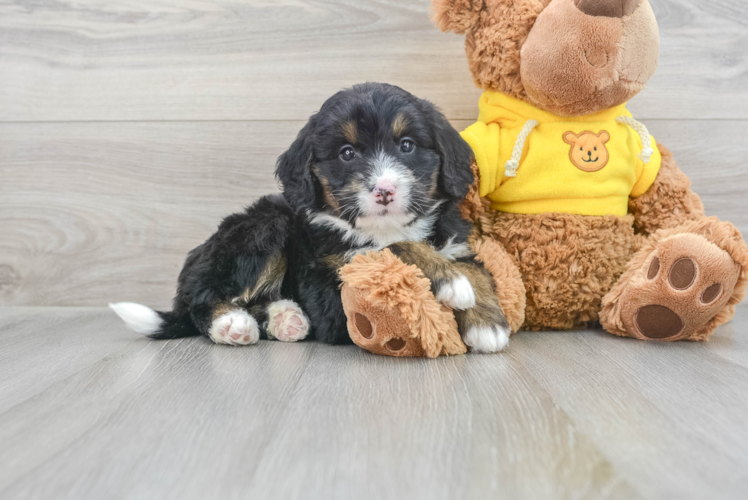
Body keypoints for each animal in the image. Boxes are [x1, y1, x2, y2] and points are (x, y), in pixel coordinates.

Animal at [109, 83, 508, 352]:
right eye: (347, 153)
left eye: (407, 145)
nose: (384, 190)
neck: (381, 227)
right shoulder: (333, 290)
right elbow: (393, 247)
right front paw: (451, 281)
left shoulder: (455, 244)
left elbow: (477, 270)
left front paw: (487, 323)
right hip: (264, 226)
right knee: (204, 299)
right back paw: (231, 324)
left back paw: (286, 318)